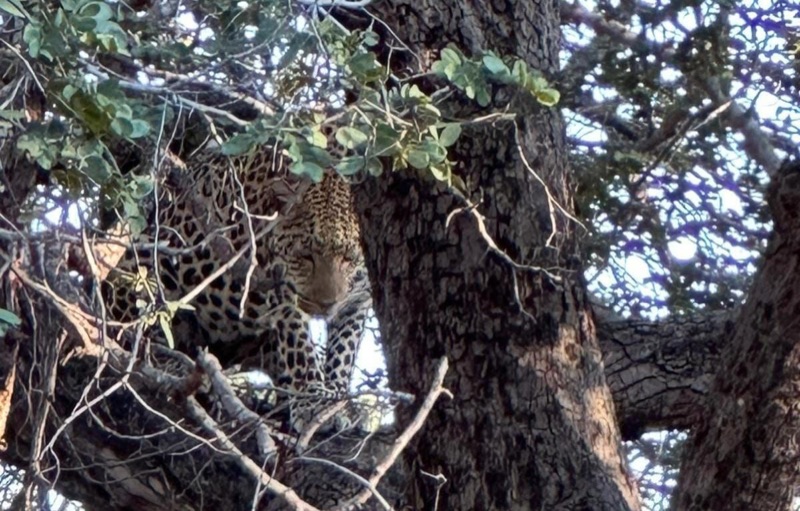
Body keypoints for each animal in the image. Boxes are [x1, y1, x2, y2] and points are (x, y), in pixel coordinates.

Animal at [105, 136, 372, 430]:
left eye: (348, 258)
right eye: (305, 256)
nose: (326, 304)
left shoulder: (360, 297)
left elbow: (344, 348)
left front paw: (337, 403)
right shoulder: (277, 290)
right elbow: (298, 346)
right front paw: (312, 402)